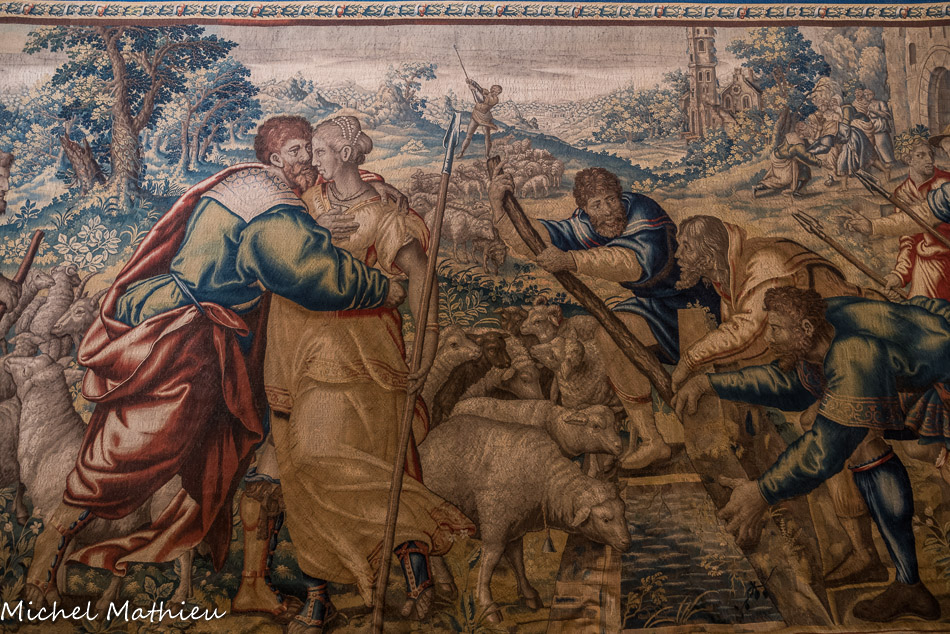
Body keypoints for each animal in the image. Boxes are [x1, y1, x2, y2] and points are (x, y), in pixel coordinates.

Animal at [7, 354, 195, 612]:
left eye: (26, 370)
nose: (7, 361)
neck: (54, 440)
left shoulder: (54, 512)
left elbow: (56, 551)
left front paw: (50, 595)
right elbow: (63, 556)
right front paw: (61, 593)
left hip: (168, 512)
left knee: (183, 552)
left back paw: (178, 600)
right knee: (125, 557)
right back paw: (105, 603)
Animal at [418, 416, 631, 622]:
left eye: (623, 511)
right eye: (605, 519)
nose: (626, 542)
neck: (544, 479)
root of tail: (427, 441)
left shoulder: (515, 528)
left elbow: (518, 561)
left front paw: (529, 594)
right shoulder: (496, 528)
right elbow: (488, 567)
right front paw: (488, 607)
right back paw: (446, 582)